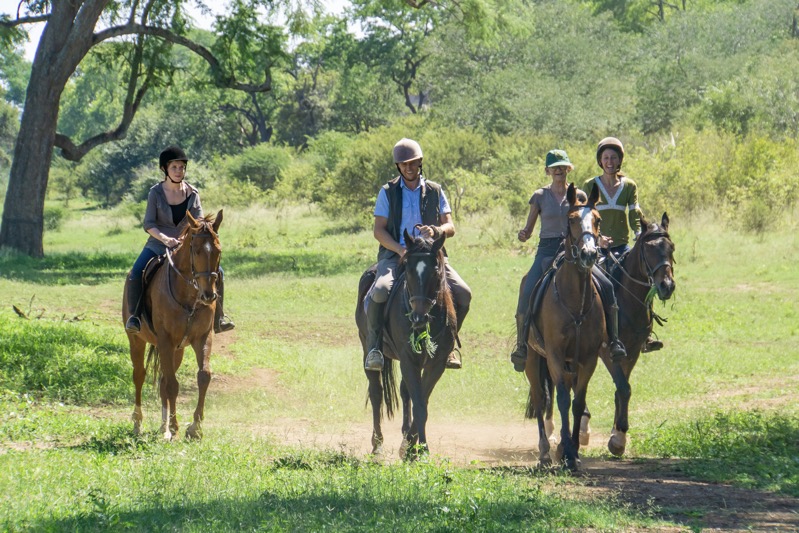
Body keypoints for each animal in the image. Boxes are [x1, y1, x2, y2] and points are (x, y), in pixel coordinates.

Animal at [122, 210, 223, 438]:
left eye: (218, 251)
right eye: (195, 251)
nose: (209, 295)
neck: (189, 296)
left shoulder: (202, 337)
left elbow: (203, 376)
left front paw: (194, 427)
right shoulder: (165, 341)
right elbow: (172, 386)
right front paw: (176, 426)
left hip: (177, 349)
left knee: (163, 381)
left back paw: (163, 427)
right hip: (137, 340)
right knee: (140, 375)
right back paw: (139, 423)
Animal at [356, 228, 456, 458]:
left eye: (436, 271)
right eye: (408, 270)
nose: (418, 317)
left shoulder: (436, 364)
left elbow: (422, 401)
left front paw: (410, 445)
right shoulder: (409, 360)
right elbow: (419, 405)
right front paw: (418, 450)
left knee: (403, 391)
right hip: (366, 346)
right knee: (376, 393)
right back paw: (377, 445)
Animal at [524, 184, 608, 470]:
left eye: (597, 220)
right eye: (571, 220)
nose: (589, 254)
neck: (574, 302)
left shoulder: (588, 358)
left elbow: (578, 401)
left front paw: (571, 451)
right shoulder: (555, 356)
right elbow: (561, 399)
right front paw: (566, 452)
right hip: (532, 360)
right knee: (540, 400)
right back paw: (544, 452)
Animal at [580, 211, 676, 454]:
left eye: (671, 248)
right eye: (648, 249)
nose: (667, 286)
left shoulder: (632, 351)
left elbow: (623, 389)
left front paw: (617, 433)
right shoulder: (608, 351)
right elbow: (623, 388)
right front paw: (618, 438)